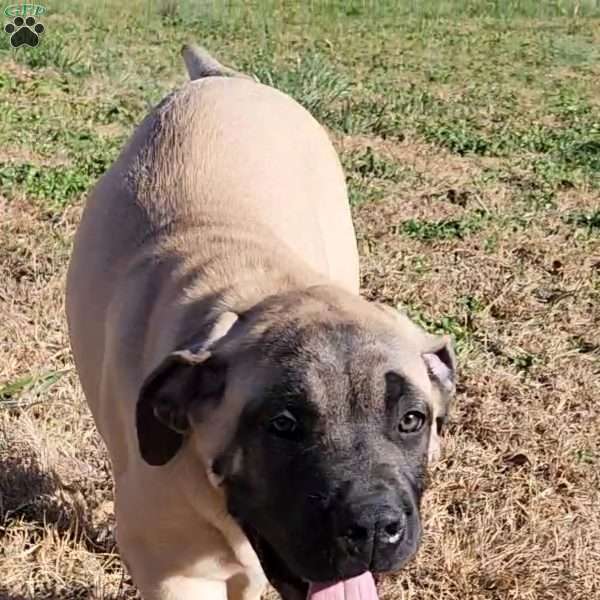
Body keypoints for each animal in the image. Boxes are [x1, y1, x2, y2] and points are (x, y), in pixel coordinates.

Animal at [64, 45, 454, 600]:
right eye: (283, 425)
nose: (375, 527)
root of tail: (221, 78)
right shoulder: (178, 575)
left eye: (412, 420)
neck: (254, 288)